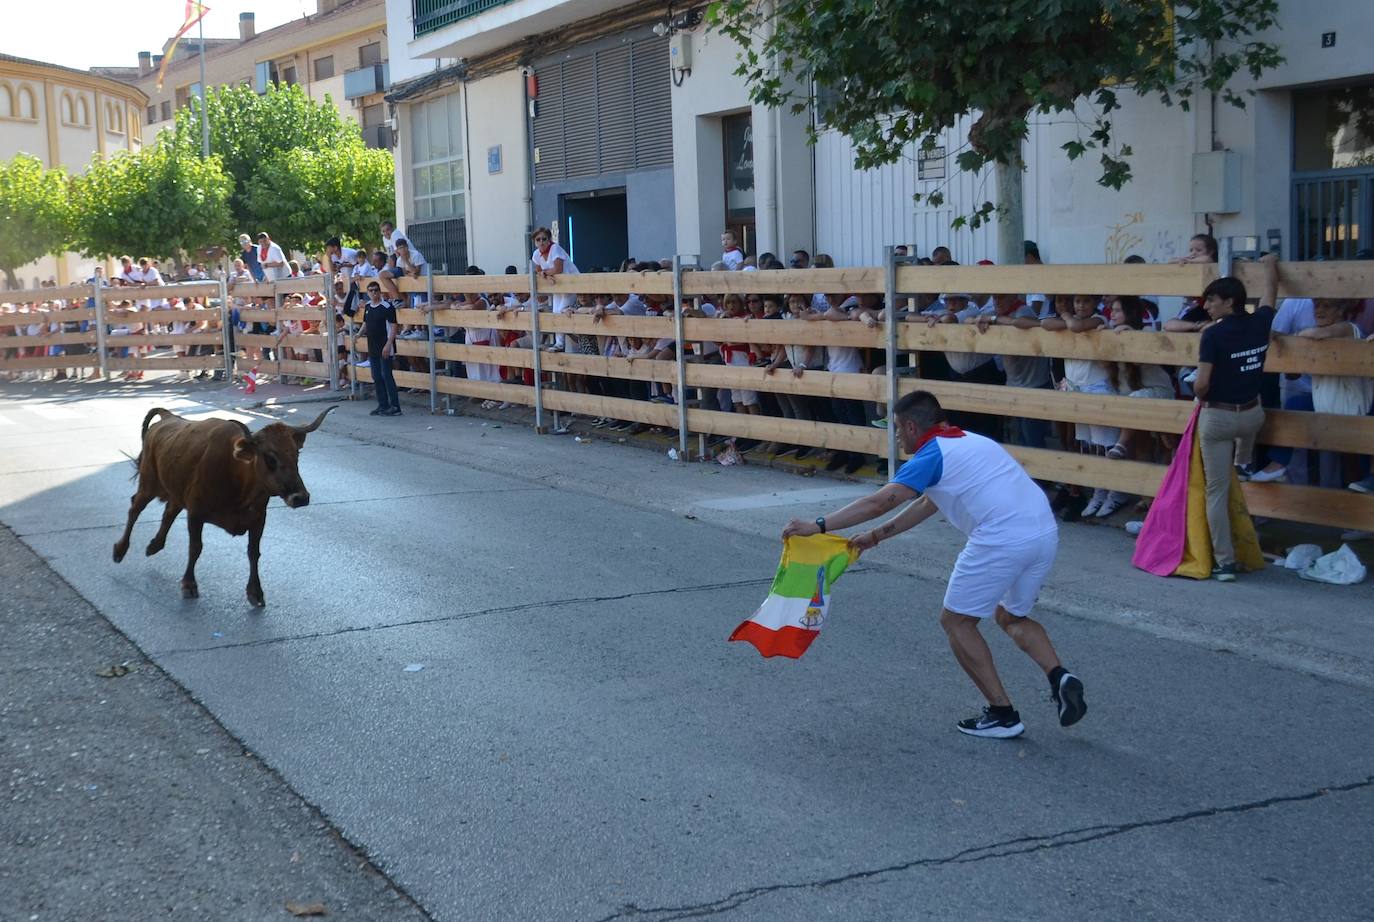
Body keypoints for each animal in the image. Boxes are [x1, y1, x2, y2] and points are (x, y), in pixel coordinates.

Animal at [114, 406, 333, 610]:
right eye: (270, 458)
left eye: (296, 454)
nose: (301, 497)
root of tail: (167, 417)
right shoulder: (196, 513)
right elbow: (195, 548)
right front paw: (189, 584)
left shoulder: (259, 518)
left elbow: (253, 553)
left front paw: (255, 592)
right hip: (148, 484)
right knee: (135, 508)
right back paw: (120, 549)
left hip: (175, 491)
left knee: (169, 512)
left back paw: (154, 545)